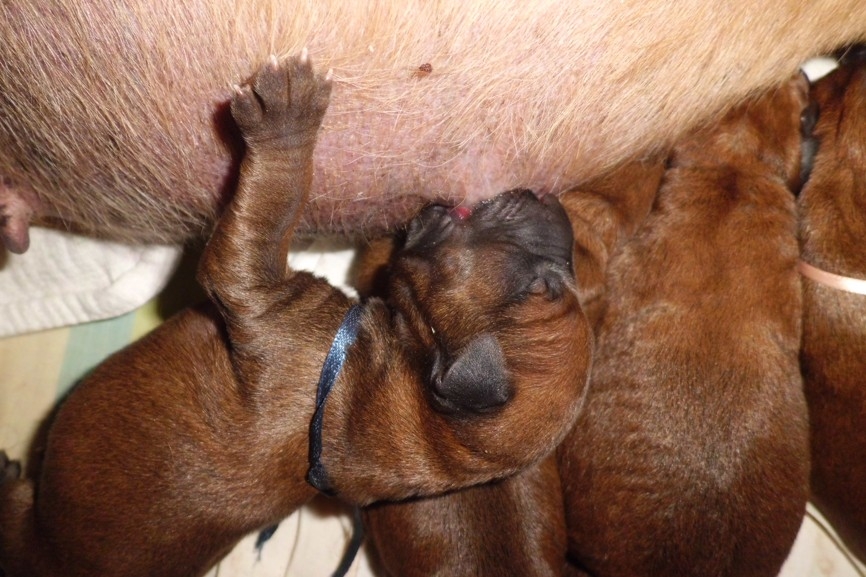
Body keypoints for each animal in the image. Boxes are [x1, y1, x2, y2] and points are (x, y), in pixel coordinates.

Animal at [0, 54, 590, 577]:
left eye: (543, 287)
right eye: (557, 278)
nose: (556, 205)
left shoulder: (254, 290)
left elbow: (270, 206)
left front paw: (285, 116)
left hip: (28, 515)